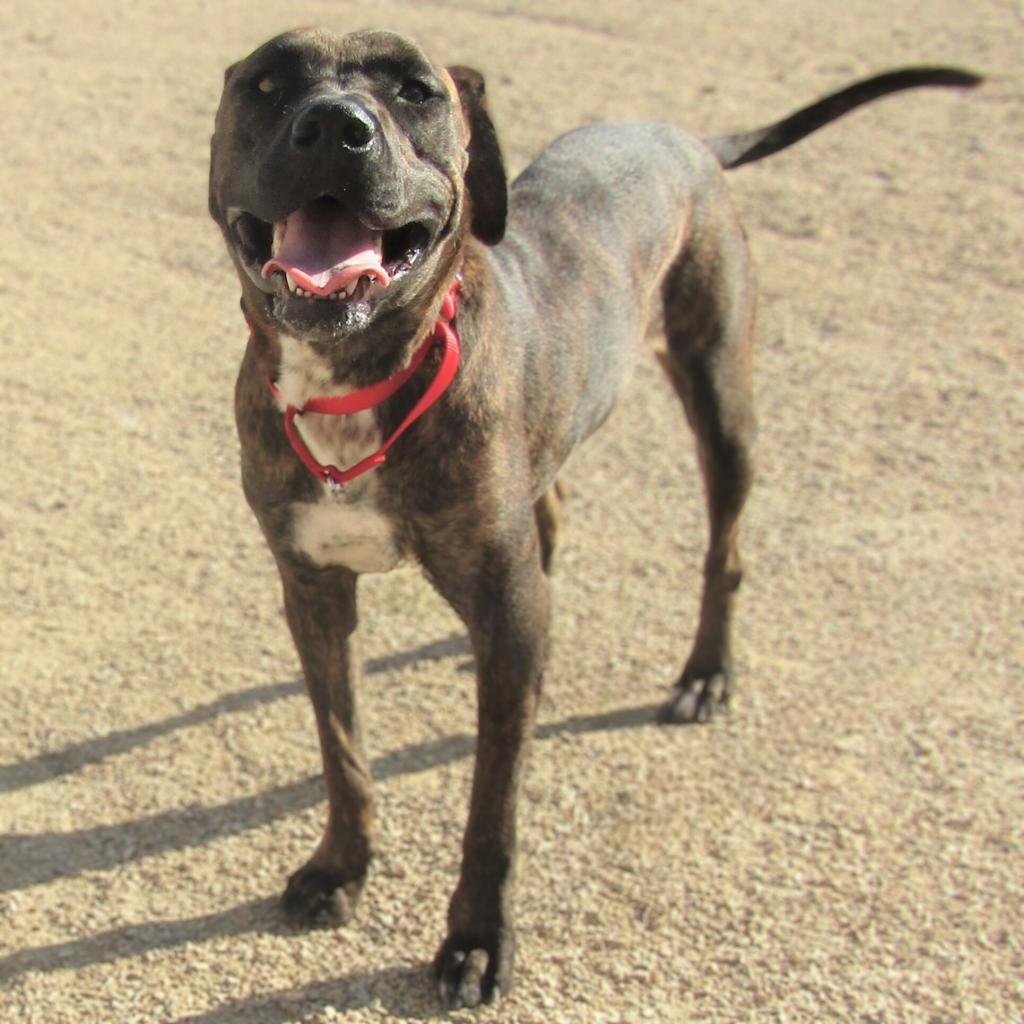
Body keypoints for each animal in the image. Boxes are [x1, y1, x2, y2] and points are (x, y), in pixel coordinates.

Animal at [205, 29, 974, 1007]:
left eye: (416, 91)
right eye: (269, 84)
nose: (336, 126)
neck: (357, 379)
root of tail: (685, 134)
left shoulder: (502, 616)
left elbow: (492, 808)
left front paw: (477, 940)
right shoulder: (313, 589)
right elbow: (343, 751)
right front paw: (342, 869)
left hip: (722, 397)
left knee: (725, 551)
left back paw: (706, 676)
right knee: (556, 510)